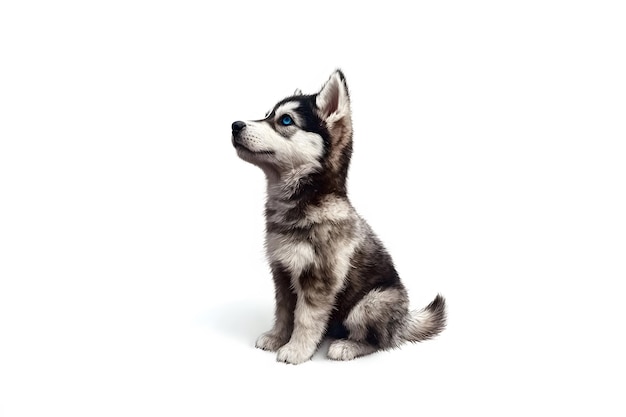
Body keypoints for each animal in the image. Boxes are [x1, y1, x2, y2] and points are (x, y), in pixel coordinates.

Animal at [230, 70, 444, 362]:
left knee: (381, 341)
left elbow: (305, 318)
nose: (234, 125)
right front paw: (277, 337)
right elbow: (284, 312)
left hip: (372, 303)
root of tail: (404, 321)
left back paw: (347, 346)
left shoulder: (320, 278)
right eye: (266, 115)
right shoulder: (282, 271)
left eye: (285, 120)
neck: (298, 203)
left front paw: (296, 350)